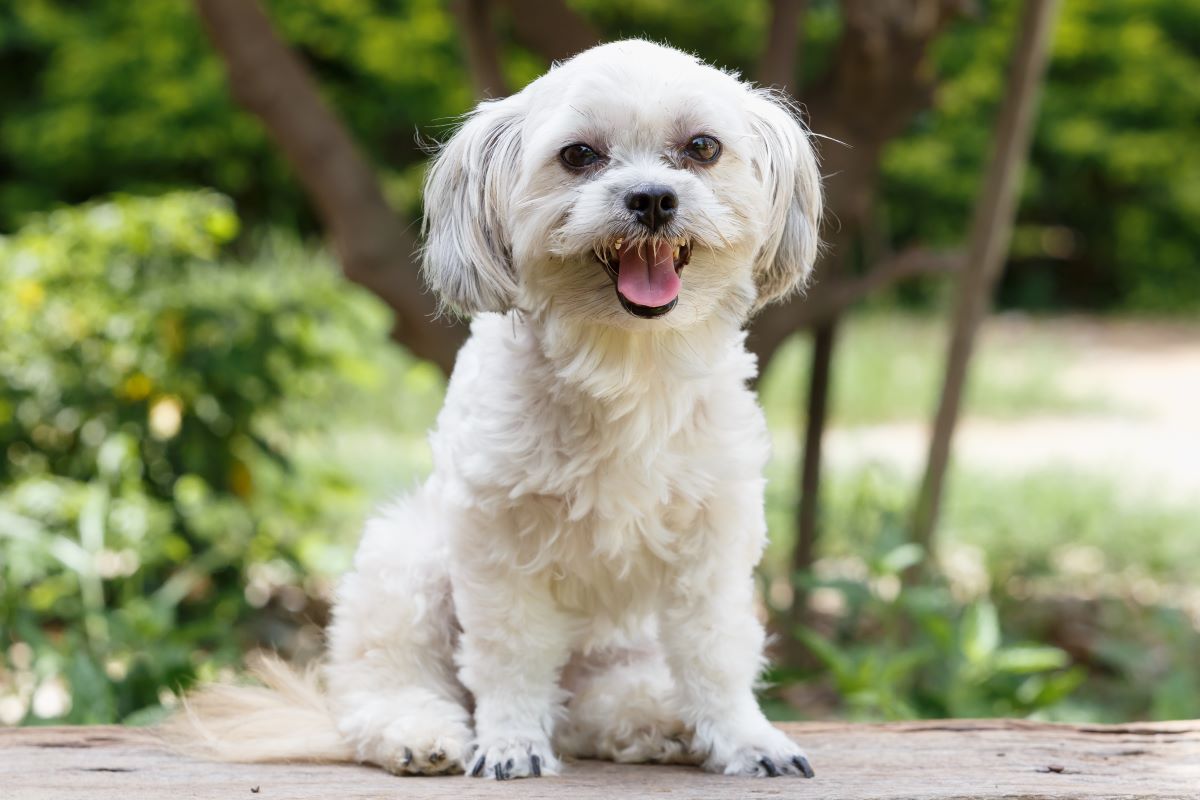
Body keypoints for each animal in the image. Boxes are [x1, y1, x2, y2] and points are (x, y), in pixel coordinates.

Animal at [180, 38, 825, 782]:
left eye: (702, 147)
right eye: (579, 155)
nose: (652, 197)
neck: (625, 363)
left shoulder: (713, 540)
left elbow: (717, 652)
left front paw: (748, 739)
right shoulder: (498, 543)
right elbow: (510, 656)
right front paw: (511, 743)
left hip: (622, 651)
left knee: (596, 710)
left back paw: (660, 724)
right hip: (410, 564)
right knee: (383, 688)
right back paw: (420, 734)